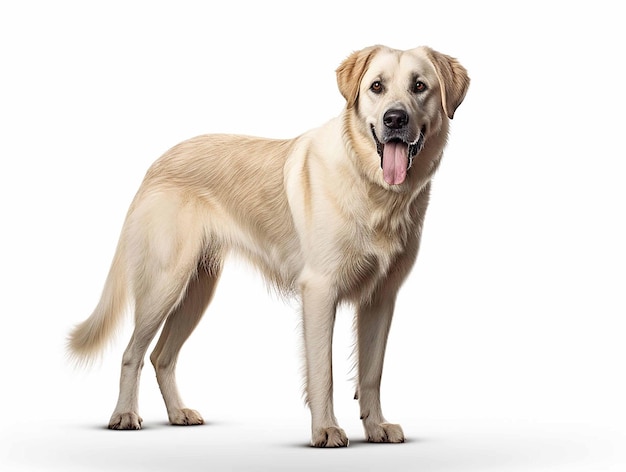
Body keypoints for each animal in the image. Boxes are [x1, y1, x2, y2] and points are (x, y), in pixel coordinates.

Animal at [68, 46, 468, 448]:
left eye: (419, 86)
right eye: (376, 87)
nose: (395, 119)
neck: (373, 188)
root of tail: (156, 165)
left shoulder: (381, 298)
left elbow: (371, 374)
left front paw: (376, 428)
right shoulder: (320, 291)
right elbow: (323, 372)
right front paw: (325, 430)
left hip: (197, 290)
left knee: (161, 356)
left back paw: (178, 413)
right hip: (164, 285)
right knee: (132, 353)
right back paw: (124, 415)